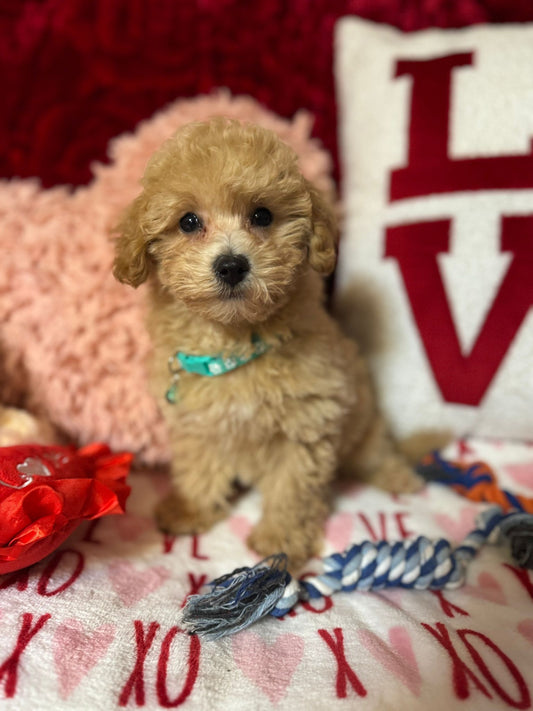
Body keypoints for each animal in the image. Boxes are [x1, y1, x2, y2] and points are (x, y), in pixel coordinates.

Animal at [114, 118, 422, 572]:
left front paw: (281, 540)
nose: (231, 265)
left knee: (377, 452)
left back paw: (399, 477)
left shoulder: (306, 423)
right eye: (188, 221)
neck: (236, 343)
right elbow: (198, 470)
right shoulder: (197, 424)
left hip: (364, 424)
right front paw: (190, 510)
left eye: (262, 215)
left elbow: (292, 489)